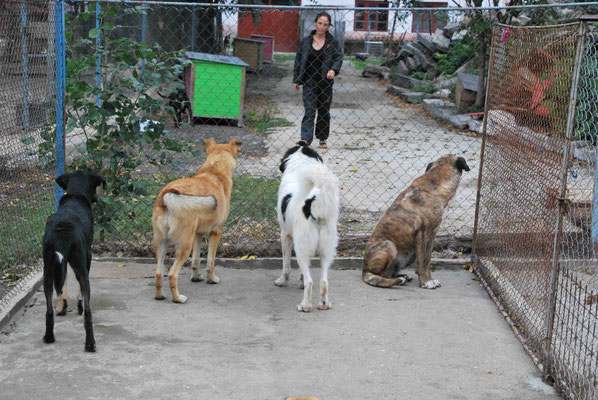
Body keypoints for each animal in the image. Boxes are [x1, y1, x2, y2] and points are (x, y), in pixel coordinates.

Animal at [42, 170, 106, 352]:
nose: (97, 199)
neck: (75, 195)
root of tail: (62, 229)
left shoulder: (60, 263)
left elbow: (62, 285)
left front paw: (62, 306)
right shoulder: (87, 257)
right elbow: (79, 292)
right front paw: (78, 305)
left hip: (47, 271)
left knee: (49, 309)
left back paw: (49, 337)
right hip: (81, 267)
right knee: (88, 312)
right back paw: (90, 344)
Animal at [151, 138, 243, 304]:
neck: (214, 170)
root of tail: (166, 196)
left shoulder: (197, 235)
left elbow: (196, 261)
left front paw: (196, 277)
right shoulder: (215, 233)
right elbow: (210, 262)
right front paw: (212, 279)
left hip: (162, 244)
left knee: (159, 273)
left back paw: (159, 296)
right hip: (184, 246)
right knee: (172, 274)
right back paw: (178, 298)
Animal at [274, 142, 340, 310]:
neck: (300, 164)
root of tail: (313, 207)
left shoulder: (285, 235)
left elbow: (286, 265)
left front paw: (282, 281)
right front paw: (299, 282)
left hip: (301, 249)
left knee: (310, 282)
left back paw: (305, 305)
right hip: (327, 251)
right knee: (323, 281)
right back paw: (324, 304)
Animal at [364, 155, 472, 290]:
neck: (435, 182)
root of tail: (364, 270)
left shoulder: (431, 236)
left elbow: (428, 260)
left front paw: (429, 279)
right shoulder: (423, 234)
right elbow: (422, 262)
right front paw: (426, 282)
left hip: (409, 254)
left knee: (389, 273)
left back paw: (402, 277)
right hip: (389, 245)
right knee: (381, 275)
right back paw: (397, 279)